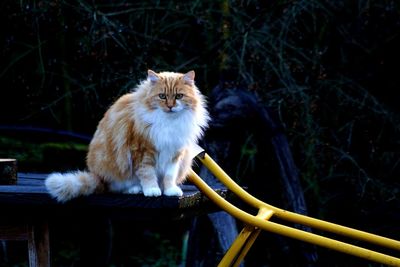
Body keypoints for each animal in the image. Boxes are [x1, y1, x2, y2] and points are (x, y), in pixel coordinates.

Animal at [44, 69, 209, 203]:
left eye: (179, 96)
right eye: (162, 96)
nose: (170, 106)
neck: (168, 122)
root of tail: (97, 176)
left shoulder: (174, 153)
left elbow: (169, 176)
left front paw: (169, 190)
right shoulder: (142, 151)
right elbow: (147, 174)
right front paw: (152, 190)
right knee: (116, 187)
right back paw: (135, 189)